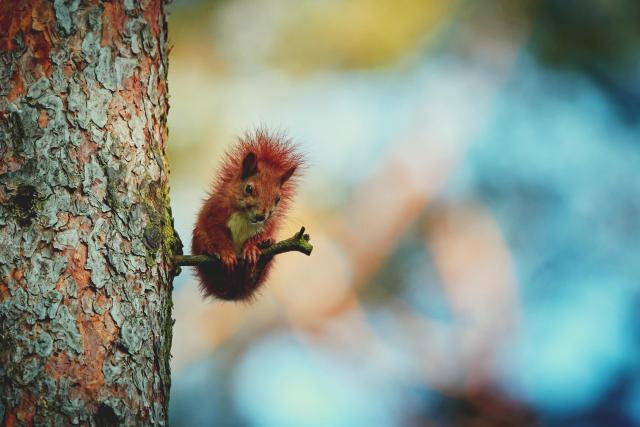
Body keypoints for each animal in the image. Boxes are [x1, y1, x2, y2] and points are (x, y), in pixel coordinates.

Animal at [191, 129, 304, 301]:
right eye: (249, 189)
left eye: (278, 199)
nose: (261, 216)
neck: (244, 217)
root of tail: (232, 291)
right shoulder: (215, 213)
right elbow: (218, 234)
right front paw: (226, 254)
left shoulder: (268, 224)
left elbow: (261, 234)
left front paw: (251, 249)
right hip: (198, 239)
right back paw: (208, 250)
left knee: (252, 278)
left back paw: (264, 250)